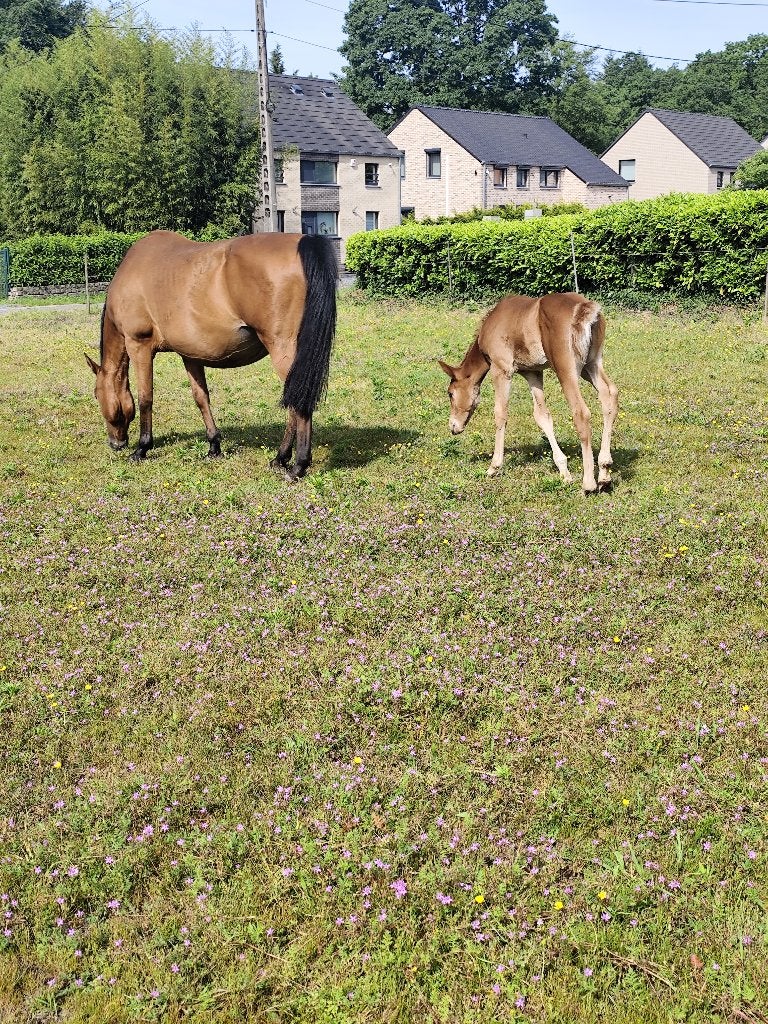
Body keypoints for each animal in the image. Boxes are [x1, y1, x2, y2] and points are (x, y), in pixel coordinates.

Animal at [85, 230, 337, 481]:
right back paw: (280, 459)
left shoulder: (139, 346)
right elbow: (201, 398)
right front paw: (213, 446)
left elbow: (145, 398)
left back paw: (297, 465)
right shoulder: (190, 355)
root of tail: (304, 241)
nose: (115, 443)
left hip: (284, 351)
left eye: (96, 395)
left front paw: (142, 448)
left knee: (299, 402)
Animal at [438, 292, 618, 492]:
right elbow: (542, 416)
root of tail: (584, 308)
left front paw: (494, 467)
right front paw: (564, 471)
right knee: (609, 395)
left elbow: (500, 414)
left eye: (450, 393)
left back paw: (588, 483)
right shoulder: (533, 372)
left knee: (581, 412)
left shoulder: (501, 369)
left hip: (566, 369)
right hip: (591, 365)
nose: (453, 426)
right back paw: (604, 472)